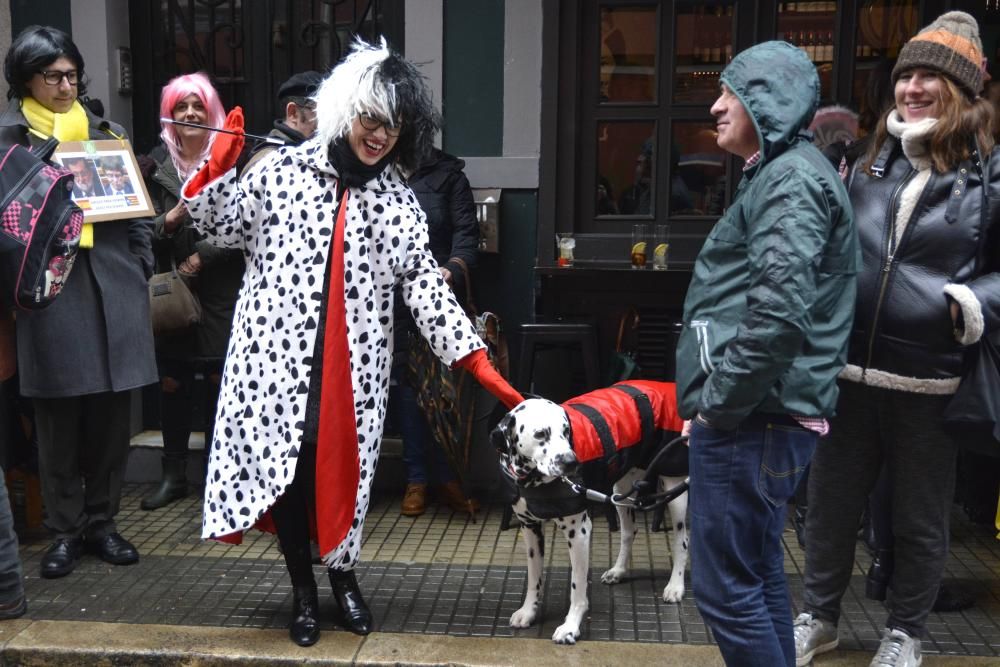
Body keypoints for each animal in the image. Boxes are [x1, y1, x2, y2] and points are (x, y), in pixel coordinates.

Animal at [490, 380, 688, 648]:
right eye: (541, 433)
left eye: (566, 431)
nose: (571, 462)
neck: (532, 480)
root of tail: (667, 385)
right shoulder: (529, 528)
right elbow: (534, 578)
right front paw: (528, 611)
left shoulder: (579, 532)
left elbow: (578, 587)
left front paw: (571, 627)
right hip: (621, 490)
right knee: (629, 532)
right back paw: (618, 570)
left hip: (674, 489)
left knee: (682, 540)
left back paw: (676, 585)